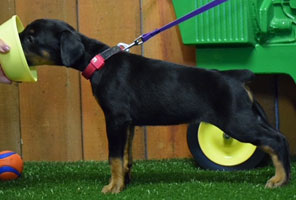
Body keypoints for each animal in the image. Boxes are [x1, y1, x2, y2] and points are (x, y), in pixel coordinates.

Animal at [19, 18, 290, 194]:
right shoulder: (128, 123)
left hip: (236, 122)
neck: (99, 61)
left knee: (274, 140)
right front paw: (125, 183)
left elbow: (114, 156)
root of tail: (236, 76)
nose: (12, 42)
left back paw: (279, 180)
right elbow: (125, 156)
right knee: (279, 137)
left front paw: (112, 187)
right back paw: (284, 177)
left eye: (31, 36)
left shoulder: (115, 119)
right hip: (247, 117)